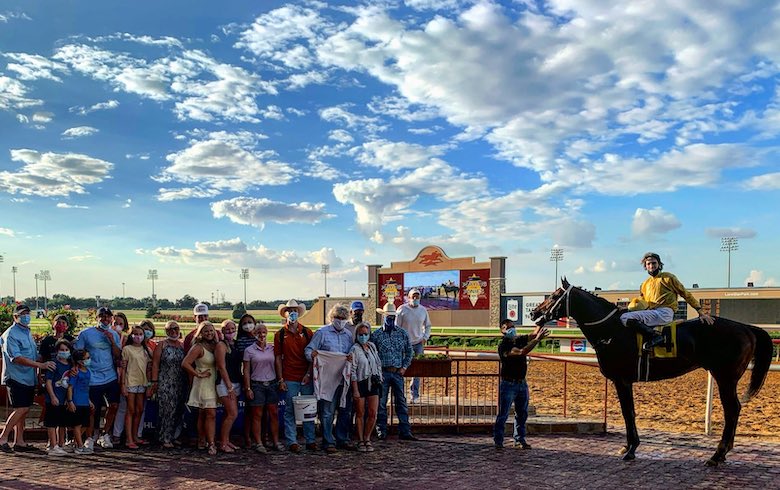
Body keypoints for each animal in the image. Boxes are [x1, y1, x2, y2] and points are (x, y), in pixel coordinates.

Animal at [532, 278, 772, 466]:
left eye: (554, 296)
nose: (534, 312)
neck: (613, 330)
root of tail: (747, 328)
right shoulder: (623, 381)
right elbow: (628, 412)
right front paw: (628, 446)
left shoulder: (622, 380)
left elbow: (628, 413)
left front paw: (631, 449)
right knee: (734, 409)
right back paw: (722, 453)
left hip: (725, 377)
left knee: (732, 409)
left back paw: (717, 454)